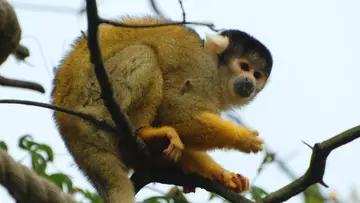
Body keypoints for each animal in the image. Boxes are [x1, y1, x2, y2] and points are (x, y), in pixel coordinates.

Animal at [51, 16, 272, 203]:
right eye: (244, 66)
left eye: (257, 74)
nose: (250, 82)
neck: (217, 72)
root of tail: (69, 130)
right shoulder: (200, 70)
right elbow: (174, 112)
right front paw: (242, 137)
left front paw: (223, 176)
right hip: (94, 99)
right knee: (144, 53)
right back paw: (146, 132)